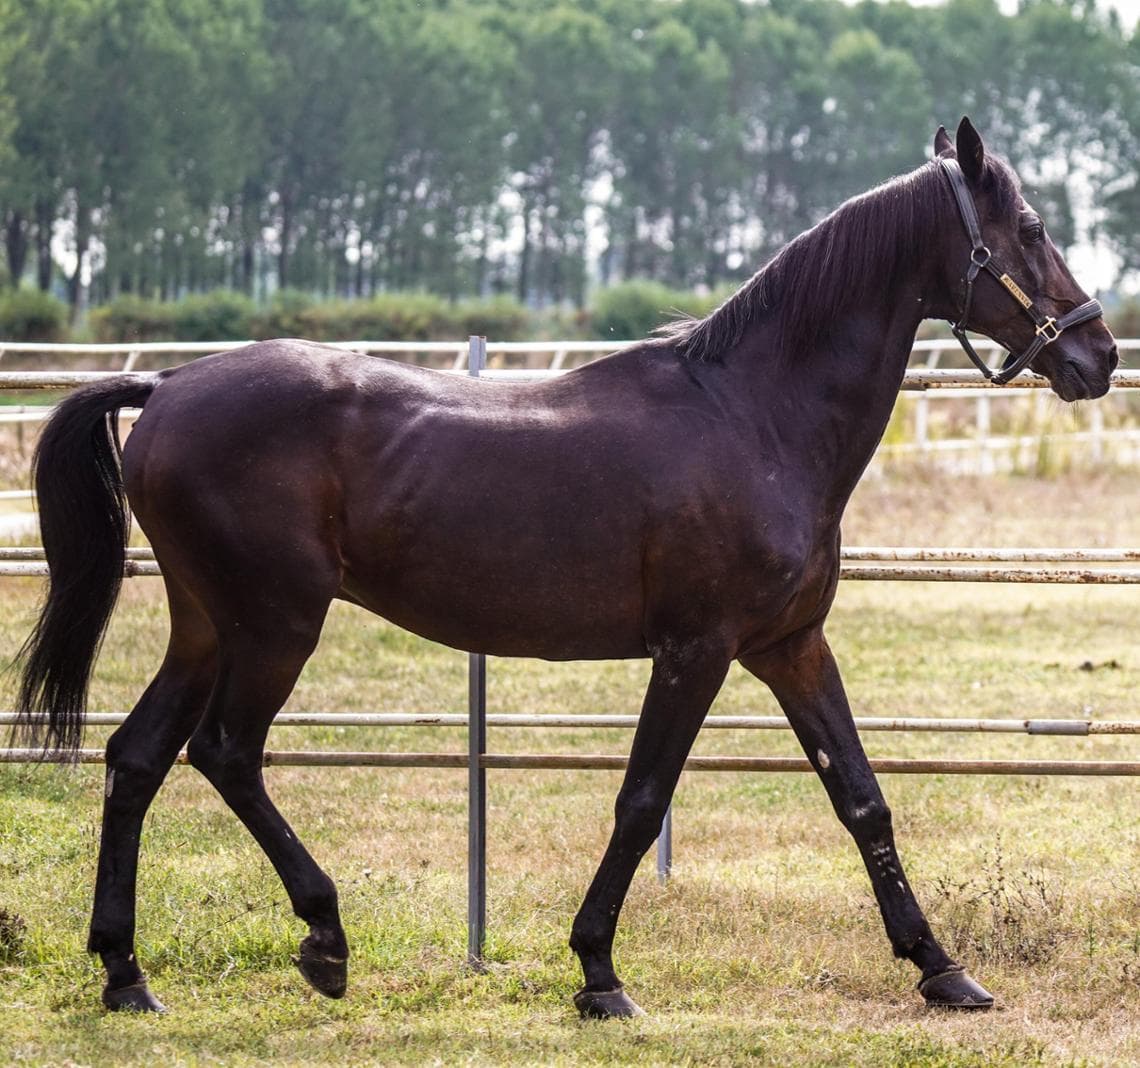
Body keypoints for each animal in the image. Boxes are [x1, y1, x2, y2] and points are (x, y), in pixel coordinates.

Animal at [14, 118, 1117, 1017]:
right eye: (1026, 227)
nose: (1098, 354)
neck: (753, 415)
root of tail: (166, 387)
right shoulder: (695, 650)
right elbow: (641, 801)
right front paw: (597, 973)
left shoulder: (792, 646)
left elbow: (861, 796)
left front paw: (943, 970)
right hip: (277, 623)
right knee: (227, 754)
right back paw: (323, 941)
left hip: (206, 625)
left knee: (137, 758)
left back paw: (125, 975)